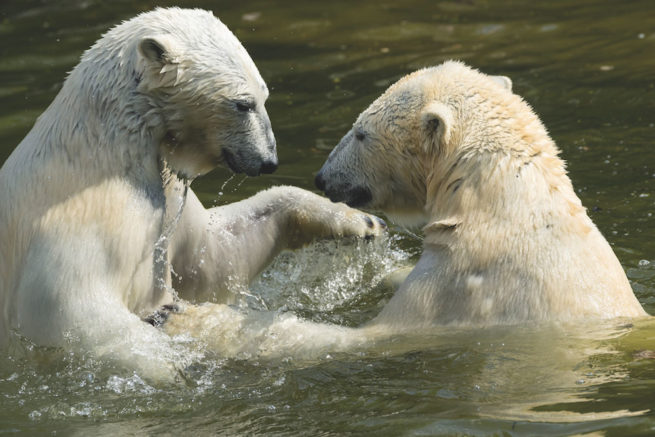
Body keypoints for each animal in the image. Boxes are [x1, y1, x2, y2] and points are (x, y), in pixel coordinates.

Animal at [0, 6, 384, 378]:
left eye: (264, 95)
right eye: (243, 104)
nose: (268, 160)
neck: (106, 154)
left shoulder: (170, 203)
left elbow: (216, 257)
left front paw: (361, 222)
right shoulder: (78, 221)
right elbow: (70, 309)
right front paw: (172, 363)